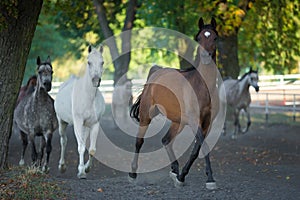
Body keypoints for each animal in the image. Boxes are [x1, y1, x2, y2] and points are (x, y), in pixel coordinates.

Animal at [54, 45, 105, 178]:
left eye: (102, 62)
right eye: (89, 62)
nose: (96, 80)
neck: (88, 97)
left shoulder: (95, 124)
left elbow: (92, 149)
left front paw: (87, 168)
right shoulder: (77, 122)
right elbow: (81, 147)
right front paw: (81, 172)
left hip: (85, 126)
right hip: (62, 122)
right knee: (63, 141)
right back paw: (62, 166)